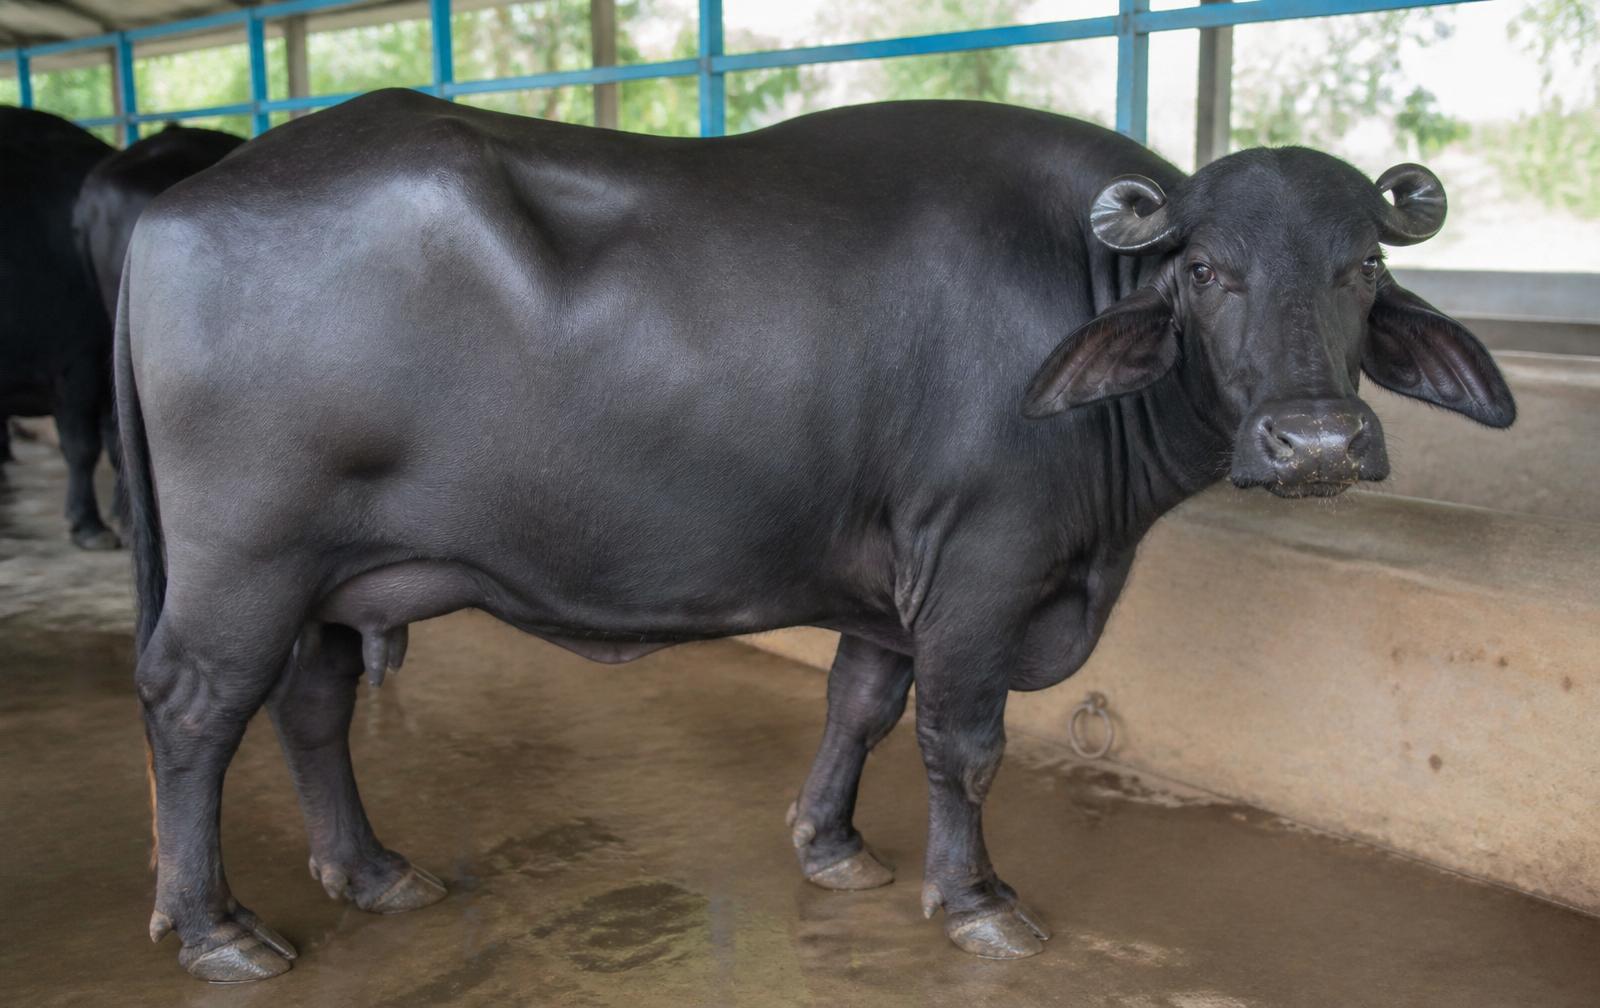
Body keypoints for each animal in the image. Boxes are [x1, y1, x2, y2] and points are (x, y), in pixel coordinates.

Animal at [117, 91, 1514, 981]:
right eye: (1210, 269)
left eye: (1361, 269)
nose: (1316, 443)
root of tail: (180, 206)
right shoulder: (981, 567)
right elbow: (964, 742)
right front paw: (976, 899)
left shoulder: (896, 581)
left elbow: (859, 704)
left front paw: (831, 846)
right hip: (247, 564)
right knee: (193, 708)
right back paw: (215, 926)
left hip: (332, 575)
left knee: (310, 704)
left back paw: (369, 870)